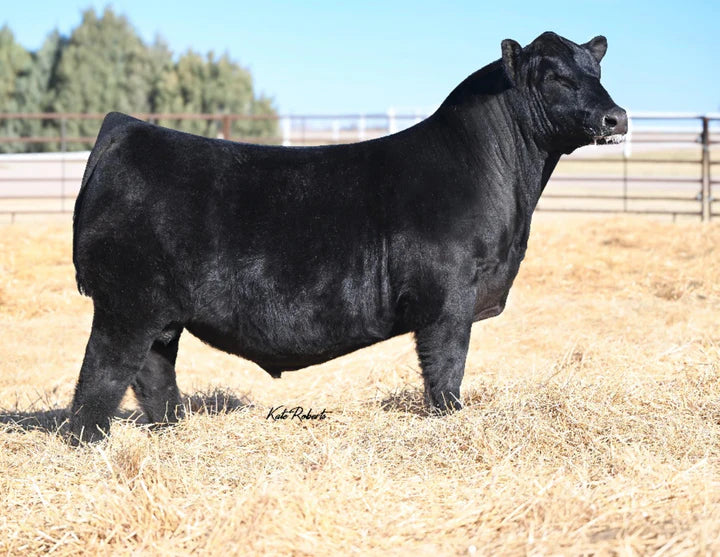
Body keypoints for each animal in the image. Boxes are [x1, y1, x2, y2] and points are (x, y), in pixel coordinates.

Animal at [69, 32, 627, 443]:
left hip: (161, 315)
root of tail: (127, 129)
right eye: (555, 76)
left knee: (152, 373)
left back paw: (170, 430)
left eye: (597, 73)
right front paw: (449, 420)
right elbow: (446, 369)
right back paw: (91, 443)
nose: (616, 117)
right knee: (100, 376)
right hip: (126, 304)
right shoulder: (447, 299)